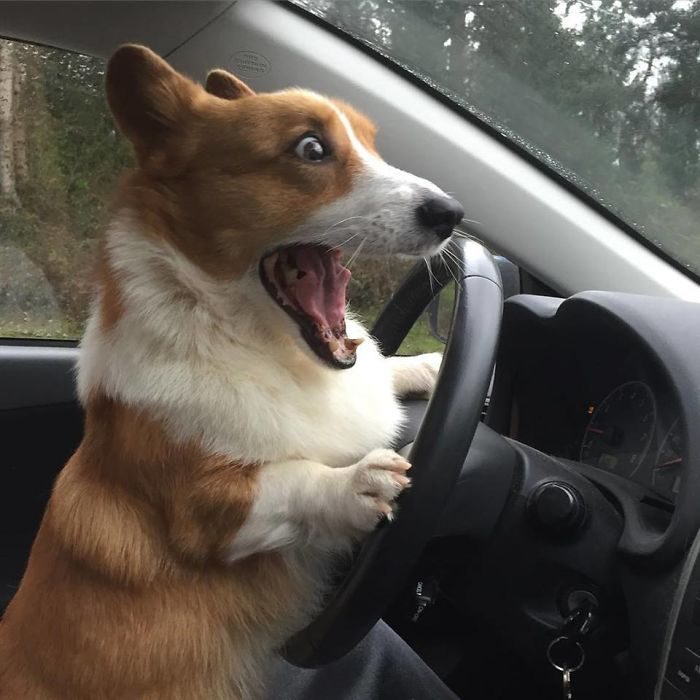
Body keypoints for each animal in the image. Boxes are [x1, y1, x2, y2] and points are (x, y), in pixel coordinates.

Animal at [0, 46, 464, 696]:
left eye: (372, 143)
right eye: (311, 149)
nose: (452, 213)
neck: (246, 341)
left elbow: (380, 369)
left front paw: (427, 365)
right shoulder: (206, 513)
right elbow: (293, 480)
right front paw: (355, 482)